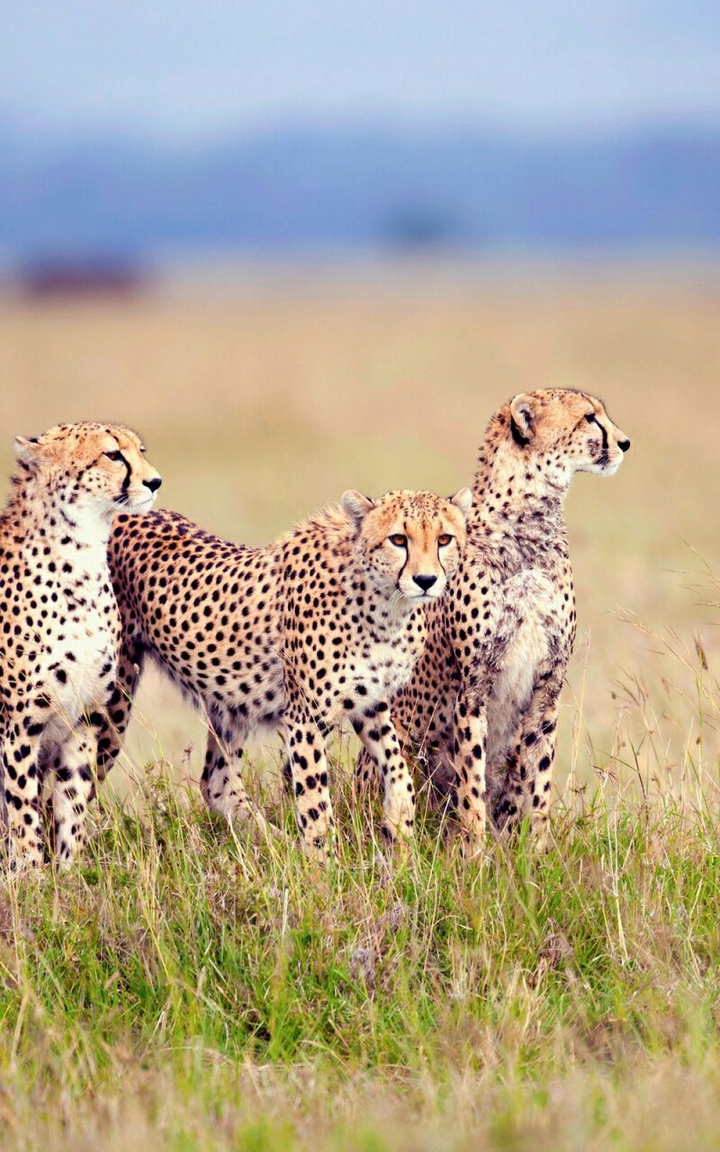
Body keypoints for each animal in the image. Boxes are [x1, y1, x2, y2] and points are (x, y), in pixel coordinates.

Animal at [0, 422, 162, 869]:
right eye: (112, 455)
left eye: (140, 451)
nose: (155, 481)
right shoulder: (19, 725)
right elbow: (23, 808)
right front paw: (31, 875)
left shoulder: (86, 718)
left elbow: (71, 801)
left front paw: (70, 872)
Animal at [91, 487, 472, 862]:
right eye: (398, 539)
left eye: (444, 539)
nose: (426, 580)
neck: (385, 604)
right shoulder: (306, 718)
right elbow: (315, 803)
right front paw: (323, 869)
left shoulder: (370, 703)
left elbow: (398, 767)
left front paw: (400, 830)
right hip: (114, 694)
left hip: (231, 702)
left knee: (216, 782)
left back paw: (275, 845)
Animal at [356, 388, 630, 852]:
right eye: (589, 418)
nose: (625, 443)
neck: (531, 527)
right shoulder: (473, 686)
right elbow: (473, 776)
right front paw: (475, 851)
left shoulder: (548, 683)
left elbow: (538, 773)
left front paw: (536, 851)